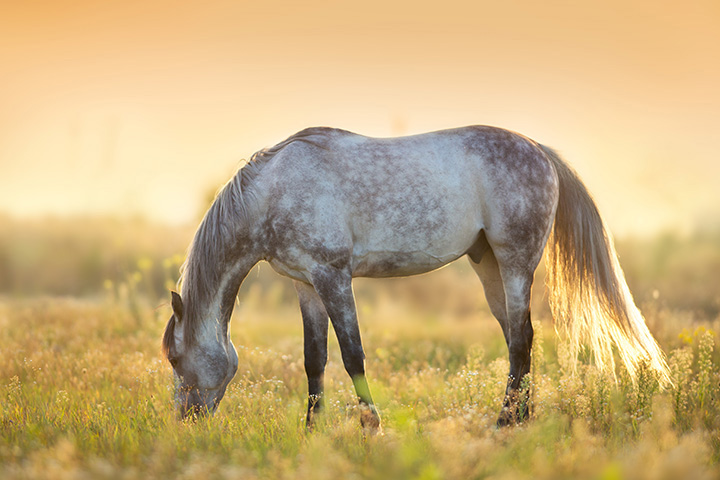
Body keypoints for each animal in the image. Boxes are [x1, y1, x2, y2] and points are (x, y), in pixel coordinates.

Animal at [162, 125, 671, 431]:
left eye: (174, 357)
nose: (186, 423)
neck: (274, 191)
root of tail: (539, 151)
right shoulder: (305, 284)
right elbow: (314, 360)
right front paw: (312, 431)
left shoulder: (333, 277)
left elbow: (353, 356)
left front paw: (372, 427)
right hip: (488, 266)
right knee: (516, 339)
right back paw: (519, 419)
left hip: (515, 263)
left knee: (523, 339)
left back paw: (506, 423)